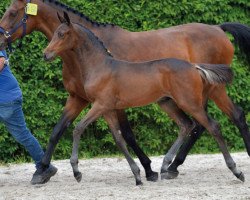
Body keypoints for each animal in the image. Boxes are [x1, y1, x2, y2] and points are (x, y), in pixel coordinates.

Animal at [0, 0, 249, 182]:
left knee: (222, 120)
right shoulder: (79, 99)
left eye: (12, 12)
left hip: (210, 91)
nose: (45, 54)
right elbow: (58, 130)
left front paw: (147, 170)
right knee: (193, 125)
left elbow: (122, 134)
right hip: (171, 100)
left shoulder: (104, 104)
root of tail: (218, 28)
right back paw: (171, 166)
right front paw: (41, 171)